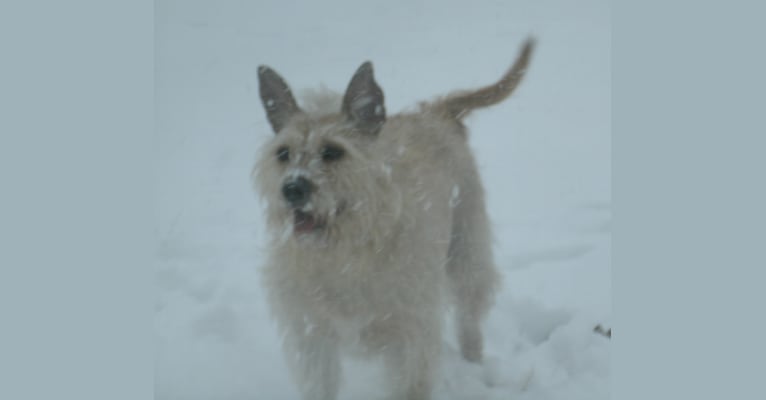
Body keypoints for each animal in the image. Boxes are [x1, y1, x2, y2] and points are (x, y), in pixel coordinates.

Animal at [252, 38, 536, 400]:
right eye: (283, 154)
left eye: (332, 151)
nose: (291, 189)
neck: (344, 251)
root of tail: (435, 113)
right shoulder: (312, 334)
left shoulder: (410, 337)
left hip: (467, 251)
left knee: (469, 319)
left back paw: (474, 364)